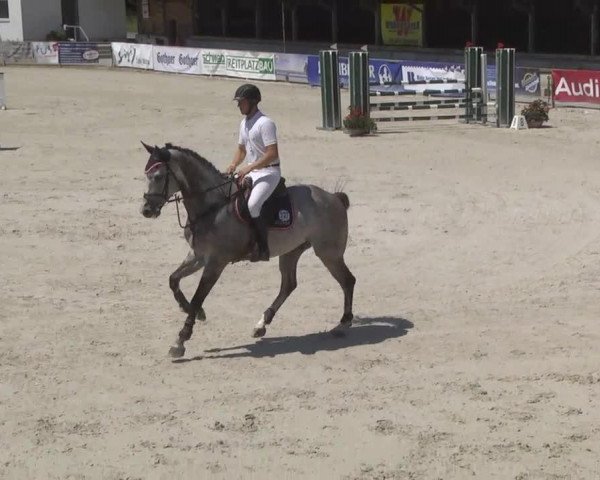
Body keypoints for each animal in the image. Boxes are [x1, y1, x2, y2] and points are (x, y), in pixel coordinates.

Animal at [141, 141, 356, 358]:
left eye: (158, 176)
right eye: (146, 175)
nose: (146, 210)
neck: (211, 207)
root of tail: (333, 197)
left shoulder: (216, 262)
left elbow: (197, 297)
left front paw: (181, 340)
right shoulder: (197, 256)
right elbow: (173, 280)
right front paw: (195, 313)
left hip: (328, 253)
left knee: (347, 281)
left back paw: (343, 324)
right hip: (291, 251)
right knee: (289, 285)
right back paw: (261, 324)